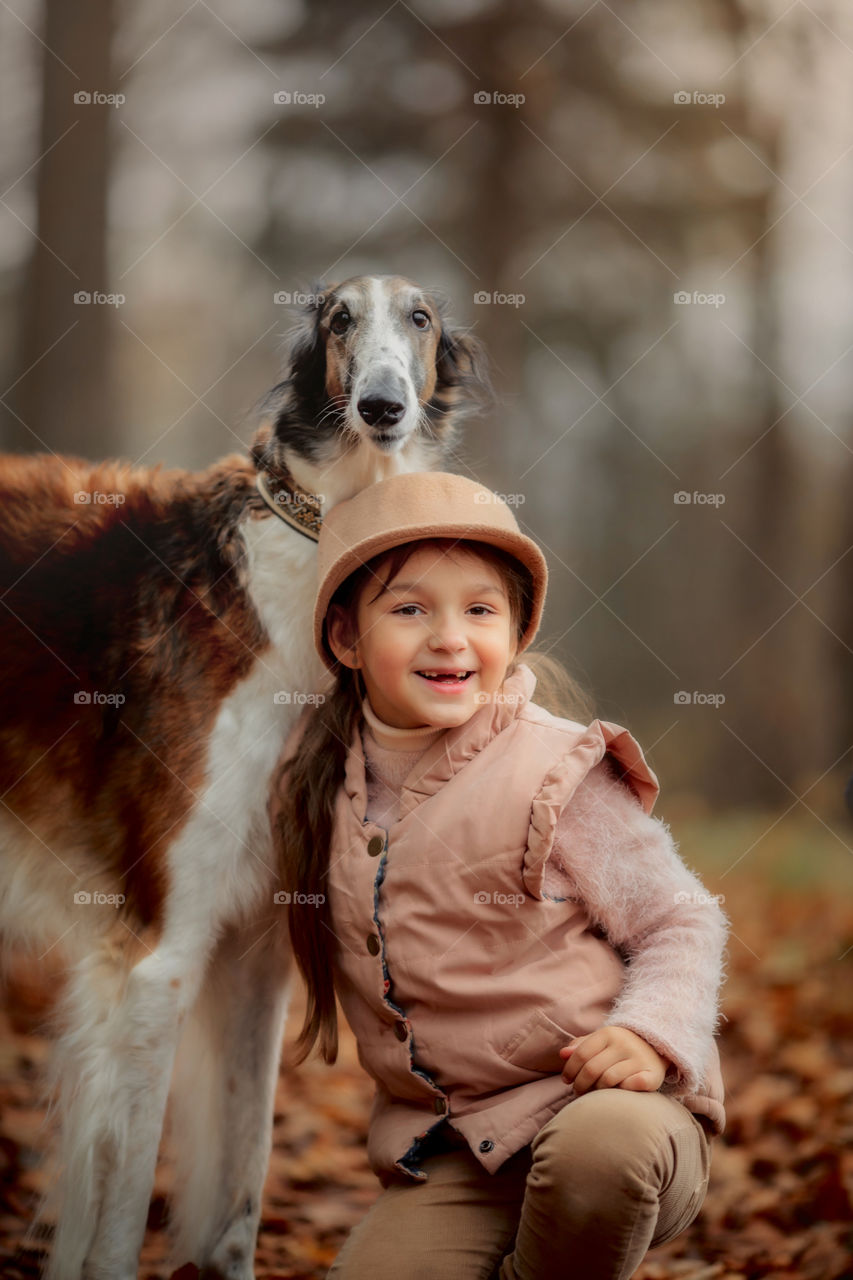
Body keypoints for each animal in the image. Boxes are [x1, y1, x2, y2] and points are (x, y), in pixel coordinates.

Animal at [0, 277, 484, 1280]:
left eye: (419, 319)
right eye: (339, 319)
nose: (383, 406)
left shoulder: (259, 951)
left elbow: (239, 1198)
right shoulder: (157, 961)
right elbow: (114, 1226)